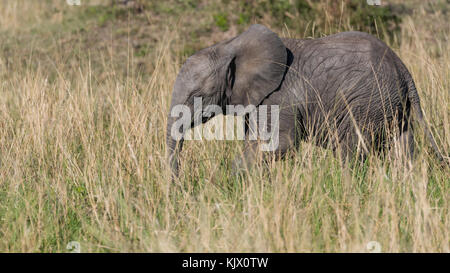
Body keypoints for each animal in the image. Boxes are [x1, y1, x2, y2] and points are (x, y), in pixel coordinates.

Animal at [165, 24, 442, 175]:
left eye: (196, 96)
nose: (178, 186)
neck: (229, 46)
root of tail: (403, 69)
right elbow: (255, 142)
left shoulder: (279, 97)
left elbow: (281, 144)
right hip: (391, 105)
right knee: (403, 149)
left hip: (367, 101)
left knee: (351, 150)